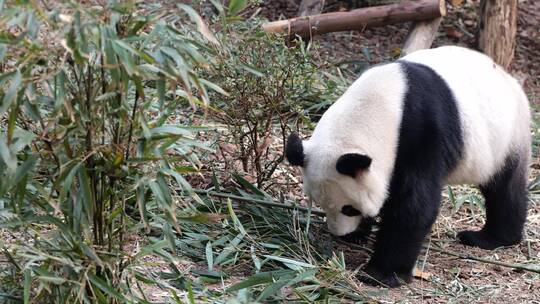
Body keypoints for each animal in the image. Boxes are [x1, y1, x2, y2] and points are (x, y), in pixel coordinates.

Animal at [286, 47, 532, 288]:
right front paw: (358, 234)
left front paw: (382, 274)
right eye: (320, 204)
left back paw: (491, 238)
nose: (340, 232)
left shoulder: (422, 132)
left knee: (504, 189)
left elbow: (414, 204)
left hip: (505, 138)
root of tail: (511, 80)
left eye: (349, 209)